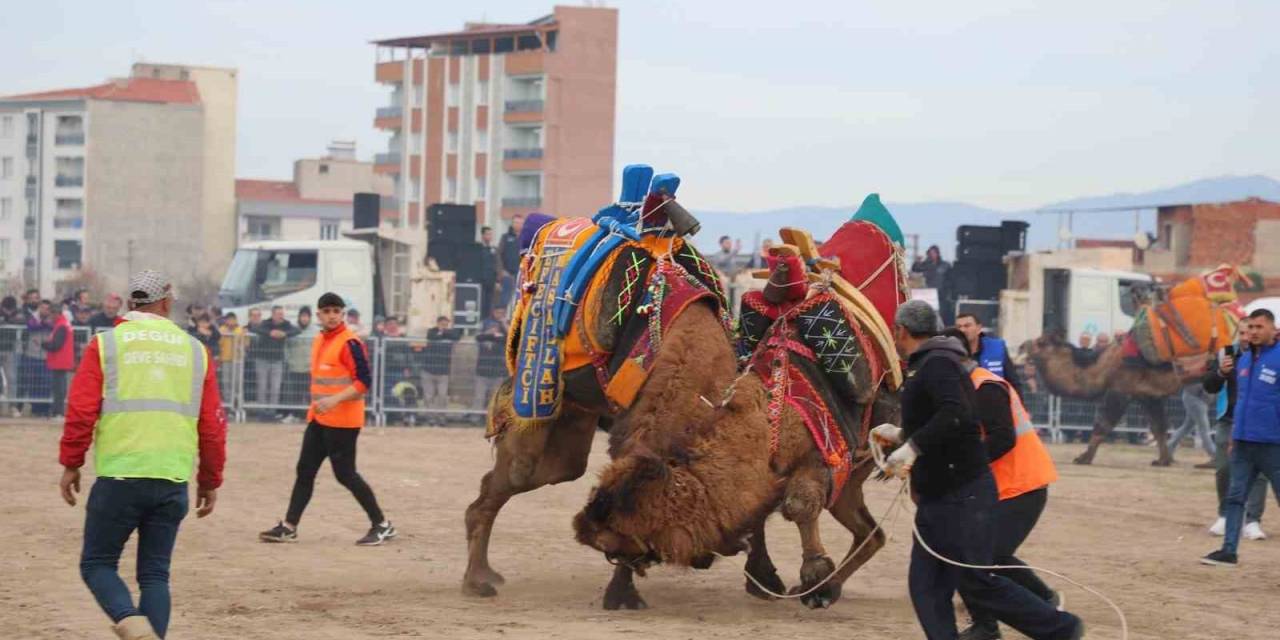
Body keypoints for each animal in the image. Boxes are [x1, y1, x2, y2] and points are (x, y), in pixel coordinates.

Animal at [1018, 335, 1187, 465]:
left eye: (1041, 342)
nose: (1021, 346)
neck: (1103, 366)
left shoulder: (1120, 390)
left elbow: (1102, 425)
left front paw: (1083, 458)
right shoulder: (1148, 395)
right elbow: (1159, 427)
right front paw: (1163, 461)